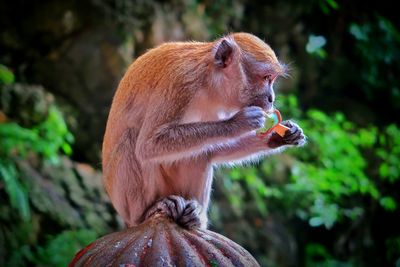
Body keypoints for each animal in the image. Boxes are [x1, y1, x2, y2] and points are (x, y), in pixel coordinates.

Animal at [102, 31, 306, 230]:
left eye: (272, 79)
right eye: (266, 77)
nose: (272, 98)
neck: (208, 80)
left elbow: (214, 150)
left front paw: (279, 136)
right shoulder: (180, 80)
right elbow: (148, 144)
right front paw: (238, 123)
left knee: (199, 153)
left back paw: (195, 216)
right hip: (127, 203)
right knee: (131, 140)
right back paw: (147, 212)